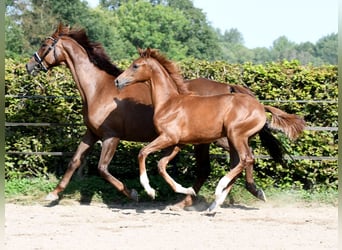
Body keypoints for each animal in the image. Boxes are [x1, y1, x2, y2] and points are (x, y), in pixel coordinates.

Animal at [26, 23, 284, 207]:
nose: (29, 66)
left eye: (44, 44)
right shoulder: (91, 133)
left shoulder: (111, 136)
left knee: (231, 161)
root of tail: (230, 87)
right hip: (215, 138)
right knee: (237, 159)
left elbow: (102, 168)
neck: (98, 88)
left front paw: (134, 193)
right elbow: (74, 161)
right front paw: (53, 194)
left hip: (215, 138)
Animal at [115, 48, 304, 211]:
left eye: (135, 65)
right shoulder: (176, 143)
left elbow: (142, 153)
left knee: (245, 159)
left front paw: (150, 190)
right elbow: (161, 165)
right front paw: (187, 190)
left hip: (235, 135)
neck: (169, 103)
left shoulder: (168, 138)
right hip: (234, 139)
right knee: (239, 162)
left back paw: (220, 189)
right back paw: (214, 205)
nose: (117, 81)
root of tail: (261, 106)